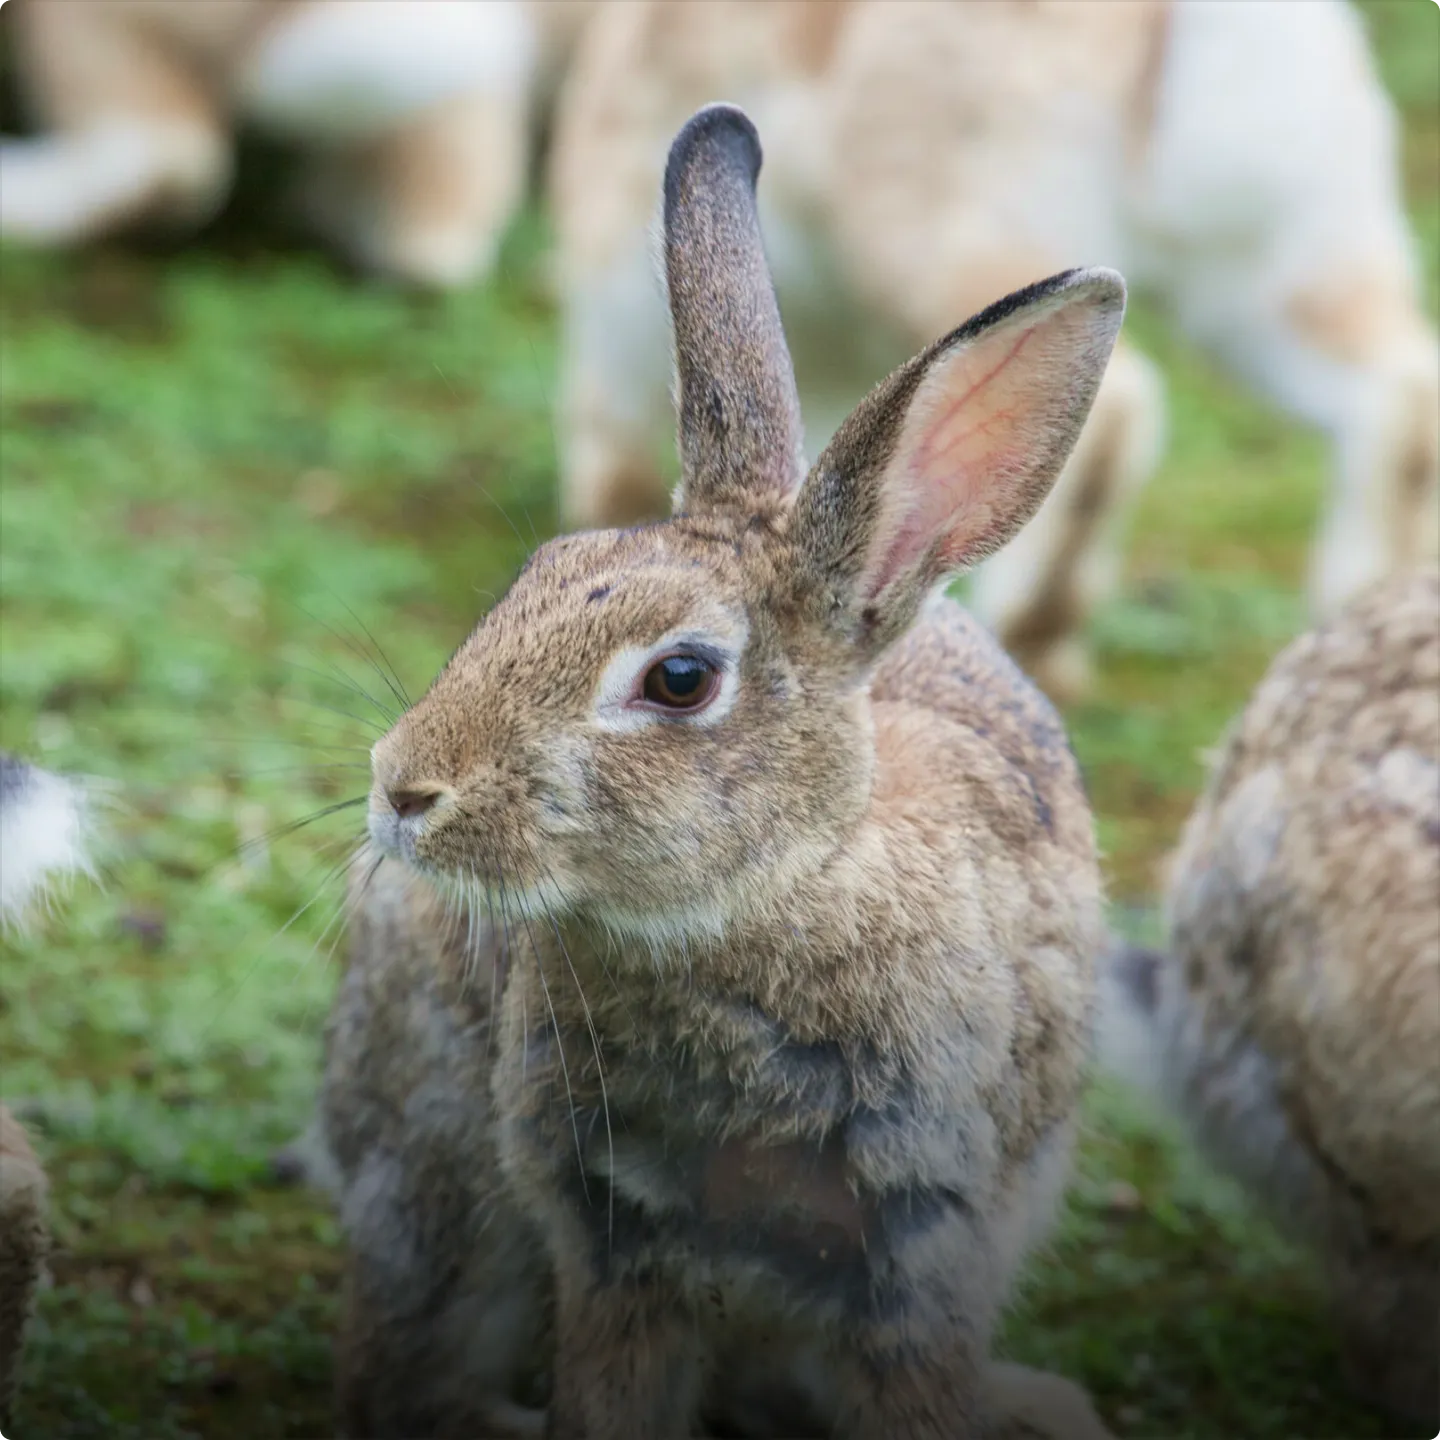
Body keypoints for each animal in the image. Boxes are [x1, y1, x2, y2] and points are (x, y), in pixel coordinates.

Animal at [322, 100, 1125, 1440]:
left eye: (681, 679)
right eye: (539, 570)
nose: (402, 789)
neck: (777, 899)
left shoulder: (919, 1258)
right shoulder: (610, 1244)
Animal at [548, 0, 1437, 704]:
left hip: (962, 229)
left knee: (1119, 412)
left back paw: (1036, 632)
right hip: (1287, 261)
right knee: (1397, 392)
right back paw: (1357, 595)